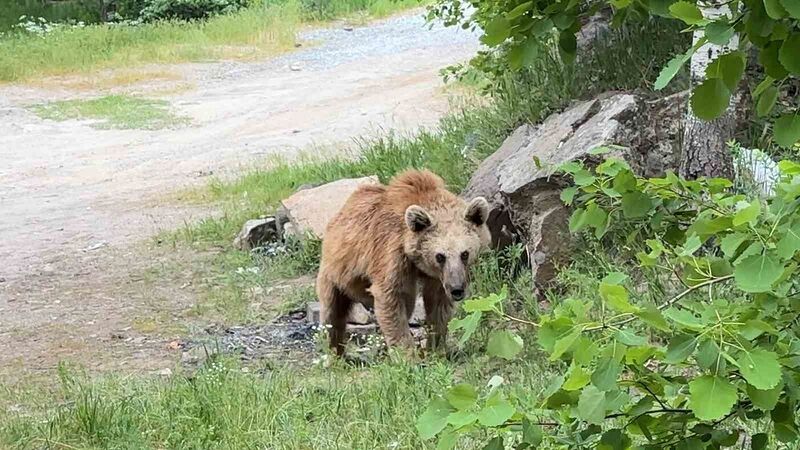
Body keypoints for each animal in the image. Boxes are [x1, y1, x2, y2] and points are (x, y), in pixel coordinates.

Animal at [316, 169, 490, 356]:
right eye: (440, 256)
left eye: (464, 254)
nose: (457, 289)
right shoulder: (391, 254)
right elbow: (391, 297)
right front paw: (408, 355)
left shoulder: (438, 277)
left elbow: (438, 305)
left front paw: (435, 348)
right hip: (336, 272)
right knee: (332, 314)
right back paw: (334, 353)